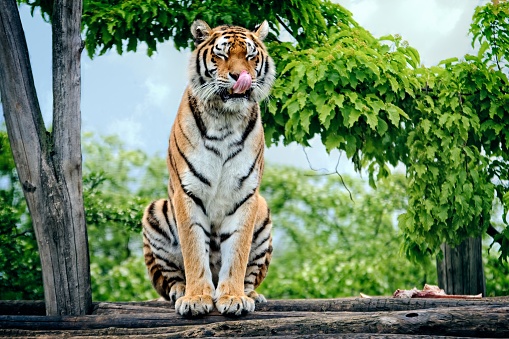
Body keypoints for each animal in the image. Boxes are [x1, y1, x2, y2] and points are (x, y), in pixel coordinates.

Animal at [141, 20, 276, 318]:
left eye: (251, 56)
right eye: (221, 55)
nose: (240, 76)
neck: (226, 118)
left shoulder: (245, 194)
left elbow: (237, 252)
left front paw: (234, 297)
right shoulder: (187, 191)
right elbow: (194, 250)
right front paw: (195, 299)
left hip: (263, 211)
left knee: (251, 275)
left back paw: (252, 295)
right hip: (156, 210)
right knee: (170, 277)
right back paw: (180, 291)